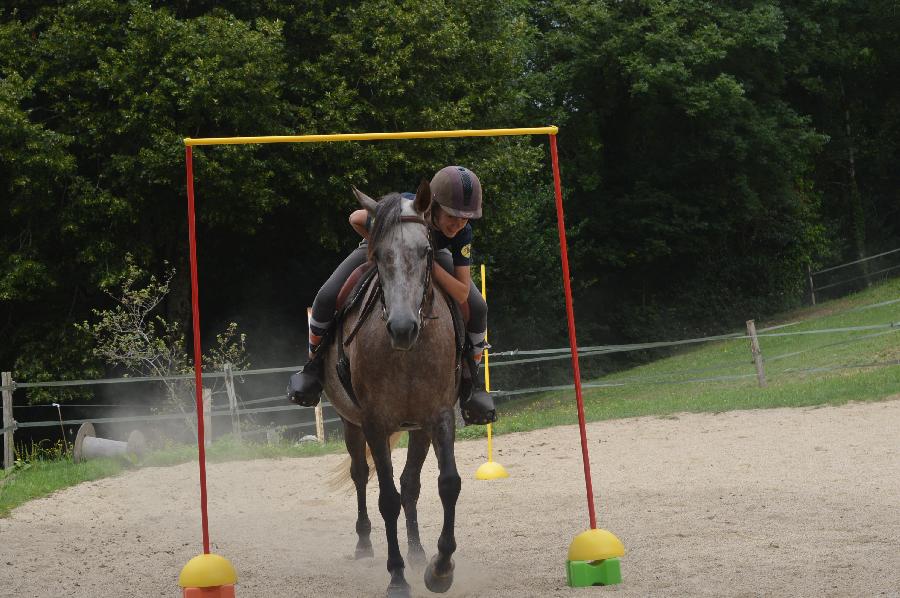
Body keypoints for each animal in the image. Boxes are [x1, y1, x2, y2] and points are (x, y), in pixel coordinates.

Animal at [322, 183, 464, 598]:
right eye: (378, 255)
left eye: (426, 251)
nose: (403, 328)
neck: (407, 354)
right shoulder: (374, 422)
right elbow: (387, 498)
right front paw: (397, 576)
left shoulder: (438, 417)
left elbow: (446, 484)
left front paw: (440, 569)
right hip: (351, 424)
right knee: (361, 475)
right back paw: (365, 543)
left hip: (416, 429)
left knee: (410, 484)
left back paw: (417, 553)